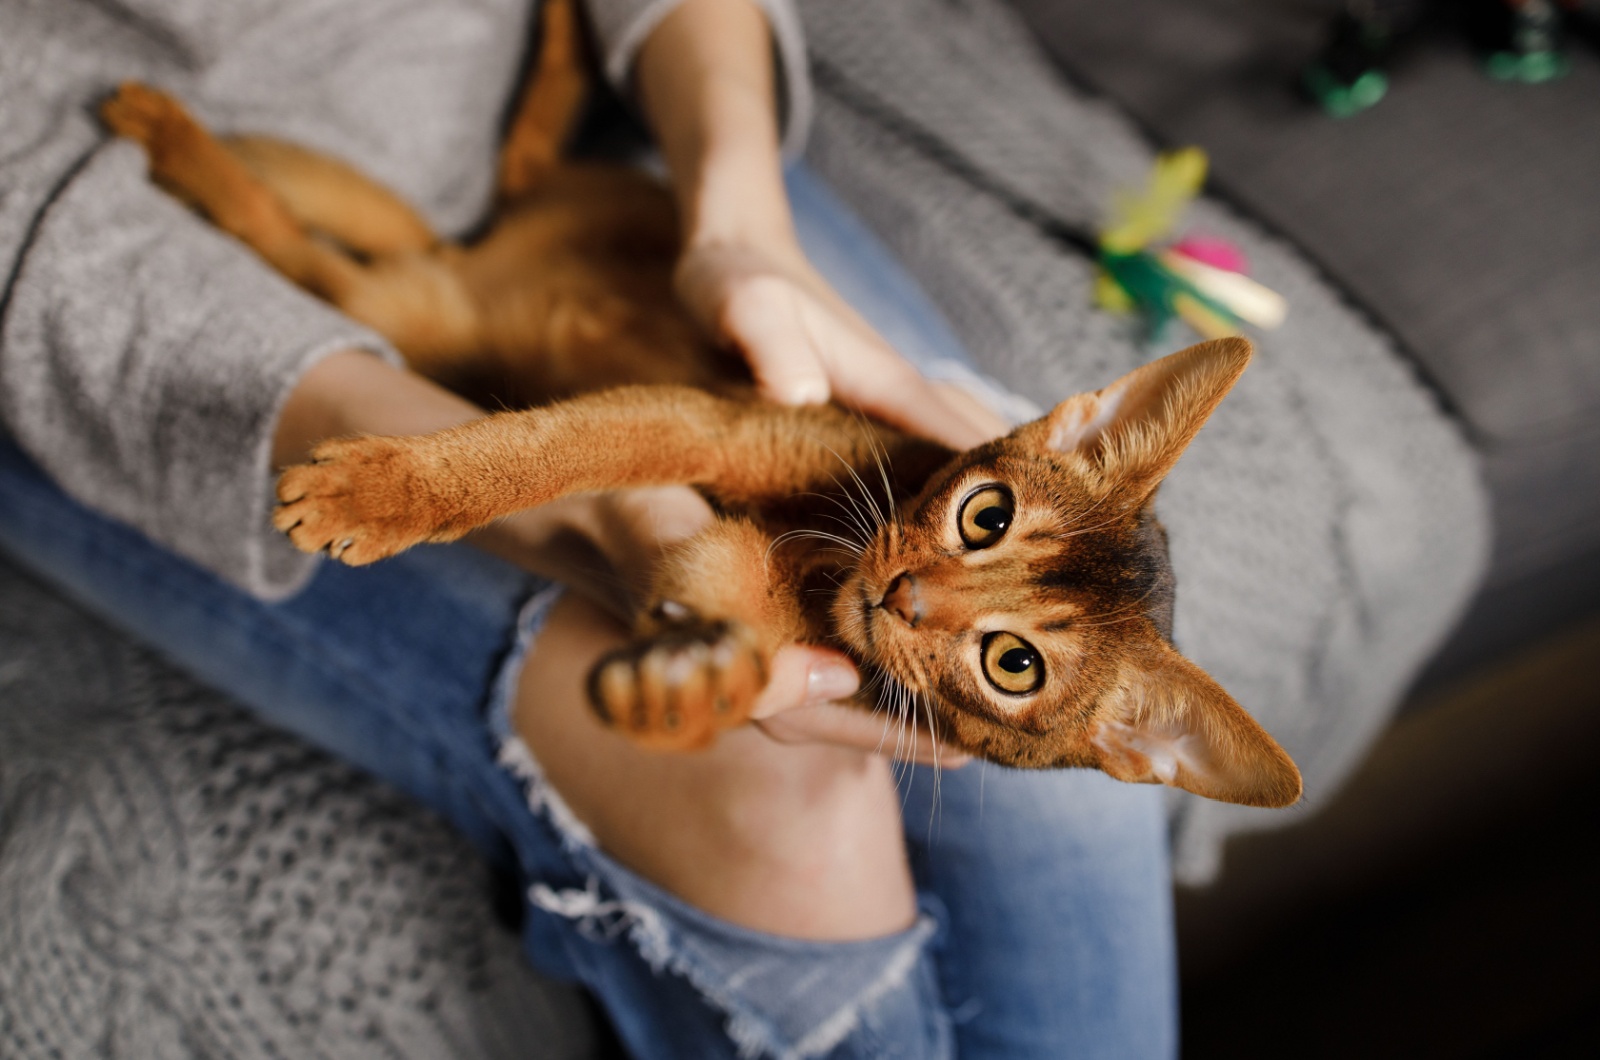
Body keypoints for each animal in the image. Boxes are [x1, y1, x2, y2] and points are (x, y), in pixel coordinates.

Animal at [96, 0, 1299, 807]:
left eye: (1014, 666)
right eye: (985, 514)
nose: (903, 596)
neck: (813, 561)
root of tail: (482, 254)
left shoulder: (727, 580)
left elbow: (723, 654)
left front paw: (679, 695)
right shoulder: (707, 417)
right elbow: (532, 458)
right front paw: (381, 493)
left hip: (419, 306)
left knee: (339, 243)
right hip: (440, 296)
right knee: (411, 200)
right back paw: (177, 133)